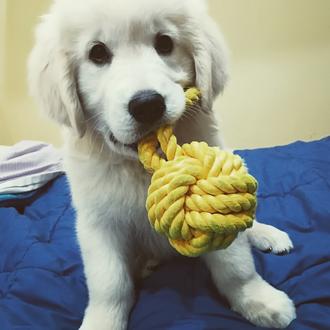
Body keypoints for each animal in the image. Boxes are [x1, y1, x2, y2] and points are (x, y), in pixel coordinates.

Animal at [28, 1, 296, 328]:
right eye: (97, 53)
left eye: (165, 43)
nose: (147, 104)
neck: (143, 168)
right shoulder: (97, 222)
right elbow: (109, 283)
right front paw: (103, 320)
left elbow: (235, 263)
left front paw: (257, 299)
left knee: (245, 223)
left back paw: (266, 233)